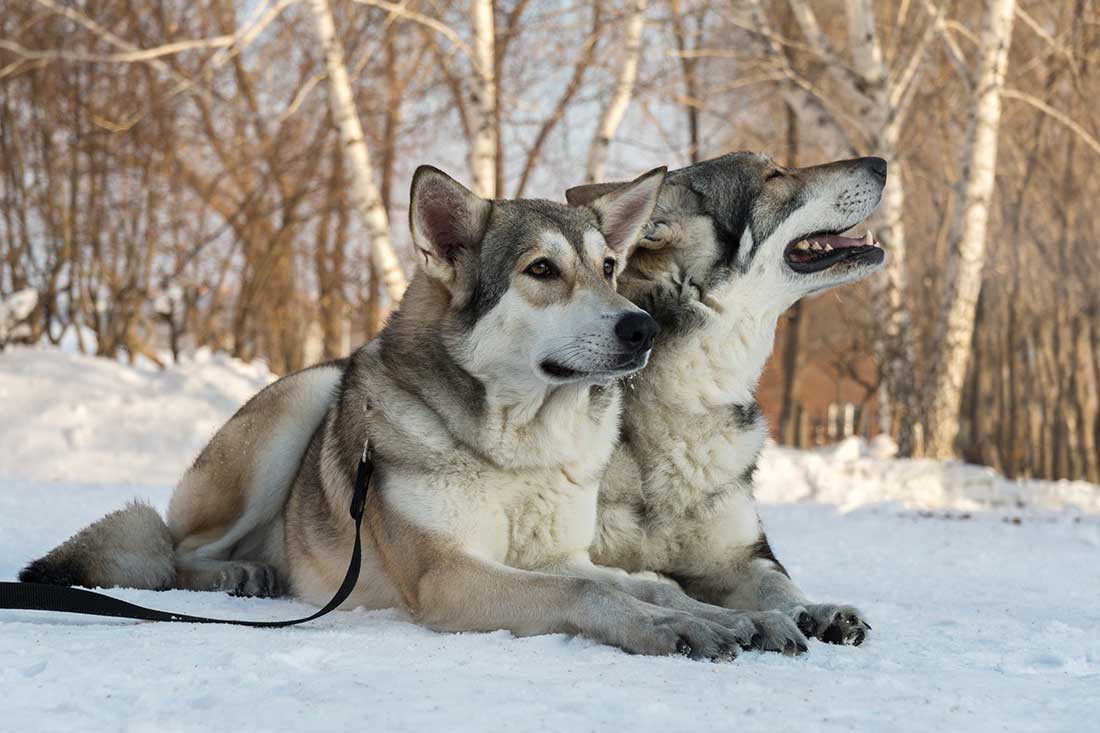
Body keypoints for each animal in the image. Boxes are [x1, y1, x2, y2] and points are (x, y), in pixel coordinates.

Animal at [23, 163, 809, 655]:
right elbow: (592, 595)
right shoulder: (451, 574)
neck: (517, 450)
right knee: (177, 551)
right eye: (542, 270)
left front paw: (745, 617)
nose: (641, 329)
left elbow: (643, 582)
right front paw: (677, 628)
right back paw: (237, 577)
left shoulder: (561, 552)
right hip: (304, 397)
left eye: (608, 268)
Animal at [567, 150, 884, 642]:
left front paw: (817, 612)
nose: (883, 164)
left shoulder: (740, 557)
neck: (692, 395)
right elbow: (654, 585)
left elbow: (778, 584)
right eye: (773, 175)